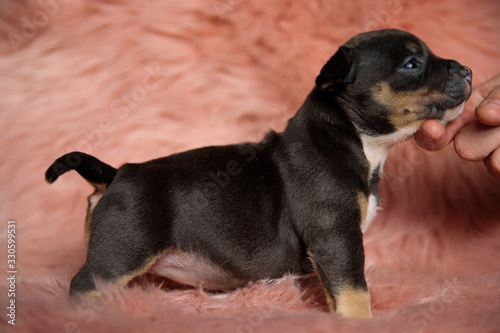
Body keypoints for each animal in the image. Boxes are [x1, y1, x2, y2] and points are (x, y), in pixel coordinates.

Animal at [45, 29, 470, 320]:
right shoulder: (337, 237)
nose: (467, 69)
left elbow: (337, 293)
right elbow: (354, 292)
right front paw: (360, 321)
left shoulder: (332, 248)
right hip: (122, 250)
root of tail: (115, 173)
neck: (354, 136)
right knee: (84, 285)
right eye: (411, 64)